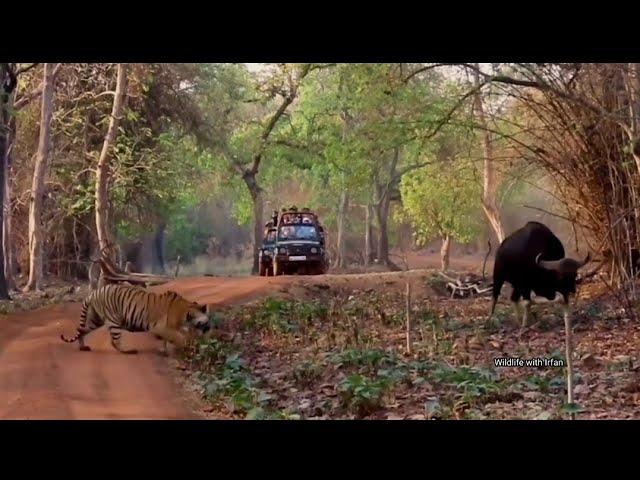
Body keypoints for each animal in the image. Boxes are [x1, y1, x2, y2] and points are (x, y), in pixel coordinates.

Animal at [61, 284, 210, 354]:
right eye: (206, 322)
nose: (209, 329)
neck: (187, 314)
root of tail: (94, 292)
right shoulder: (161, 327)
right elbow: (178, 337)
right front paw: (181, 347)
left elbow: (167, 340)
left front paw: (164, 350)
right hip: (114, 319)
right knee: (115, 340)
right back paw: (129, 351)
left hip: (95, 320)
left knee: (81, 329)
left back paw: (82, 346)